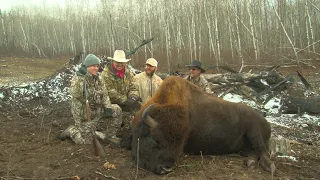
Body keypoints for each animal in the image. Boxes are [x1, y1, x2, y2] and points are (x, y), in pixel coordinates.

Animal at [131, 76, 274, 174]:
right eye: (156, 140)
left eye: (180, 144)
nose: (166, 168)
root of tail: (266, 122)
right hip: (244, 147)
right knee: (254, 153)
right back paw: (250, 162)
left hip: (254, 130)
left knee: (263, 150)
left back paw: (269, 166)